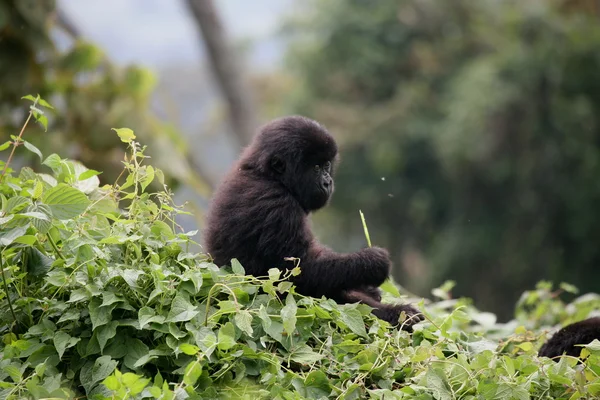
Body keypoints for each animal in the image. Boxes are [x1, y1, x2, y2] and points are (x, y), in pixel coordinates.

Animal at [205, 115, 422, 328]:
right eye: (315, 168)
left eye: (326, 165)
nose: (327, 182)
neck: (267, 175)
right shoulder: (276, 205)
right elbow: (301, 273)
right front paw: (373, 263)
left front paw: (370, 287)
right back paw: (399, 315)